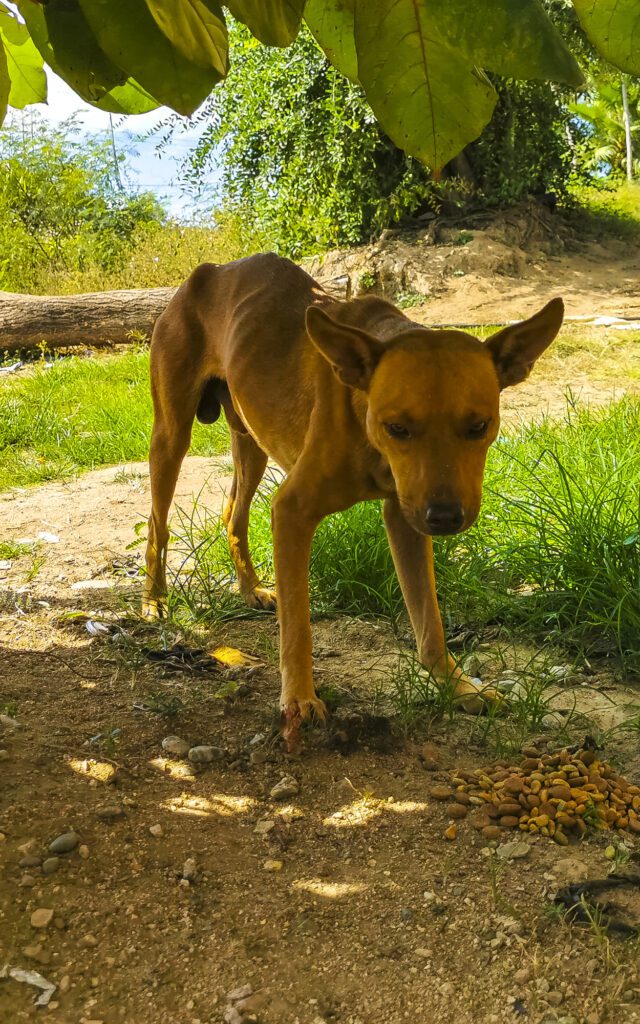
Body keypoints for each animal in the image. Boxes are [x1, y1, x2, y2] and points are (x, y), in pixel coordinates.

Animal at [142, 253, 561, 753]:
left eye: (479, 426)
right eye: (397, 427)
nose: (444, 518)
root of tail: (210, 270)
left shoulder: (404, 515)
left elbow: (430, 621)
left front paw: (457, 687)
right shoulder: (293, 511)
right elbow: (298, 627)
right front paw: (299, 699)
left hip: (251, 439)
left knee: (233, 516)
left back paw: (249, 588)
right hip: (171, 435)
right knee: (158, 524)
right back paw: (154, 601)